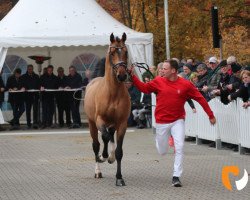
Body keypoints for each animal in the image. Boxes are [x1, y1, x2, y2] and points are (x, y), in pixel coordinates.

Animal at [84, 32, 131, 186]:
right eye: (112, 53)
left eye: (126, 52)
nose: (122, 75)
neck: (112, 93)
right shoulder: (100, 120)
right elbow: (104, 138)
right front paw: (104, 157)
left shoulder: (122, 123)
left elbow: (119, 151)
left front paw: (119, 178)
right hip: (92, 124)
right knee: (96, 144)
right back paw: (98, 169)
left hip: (111, 124)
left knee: (108, 137)